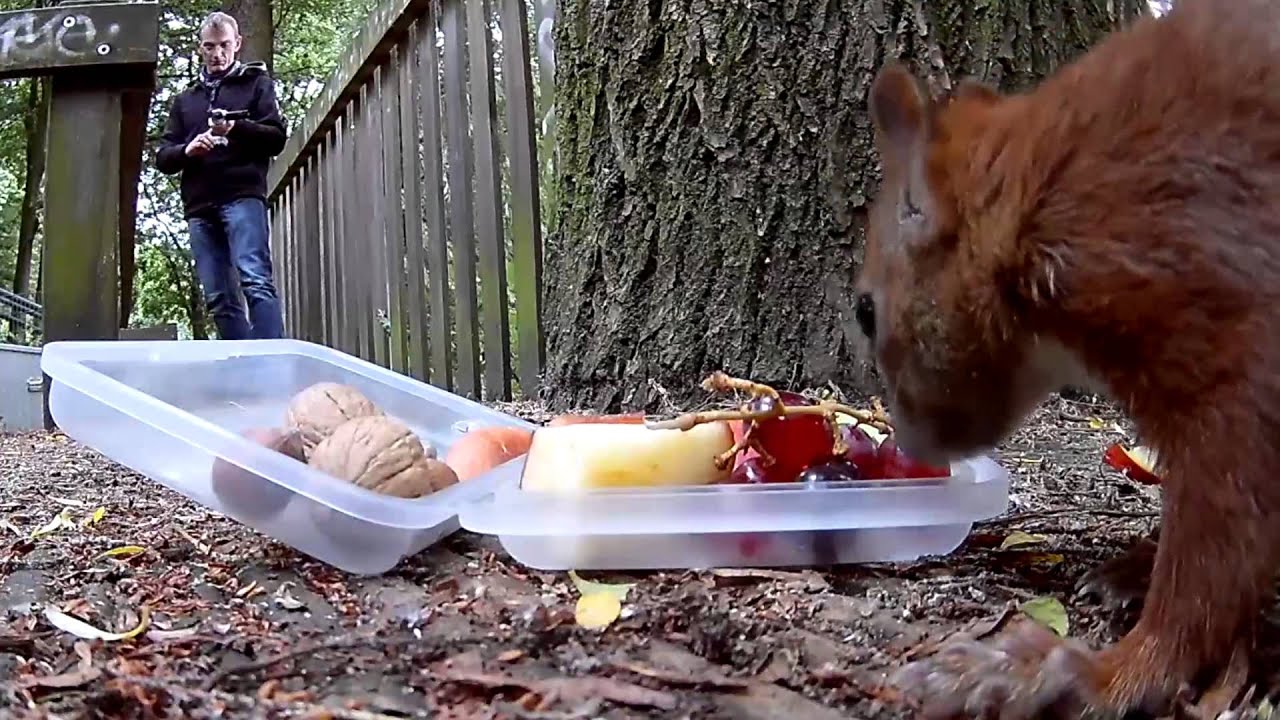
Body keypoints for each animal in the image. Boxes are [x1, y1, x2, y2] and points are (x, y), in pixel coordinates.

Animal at [853, 0, 1280, 717]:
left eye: (865, 311)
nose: (910, 448)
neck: (1030, 200)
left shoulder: (1226, 327)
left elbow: (1217, 545)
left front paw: (1100, 673)